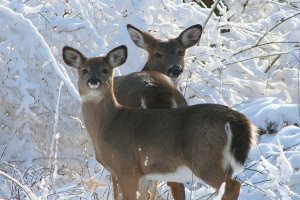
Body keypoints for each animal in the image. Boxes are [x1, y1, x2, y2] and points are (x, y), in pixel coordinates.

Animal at [62, 45, 256, 200]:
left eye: (105, 70)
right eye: (84, 70)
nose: (94, 80)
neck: (108, 123)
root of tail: (234, 119)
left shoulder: (125, 166)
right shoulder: (143, 174)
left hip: (205, 159)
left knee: (232, 186)